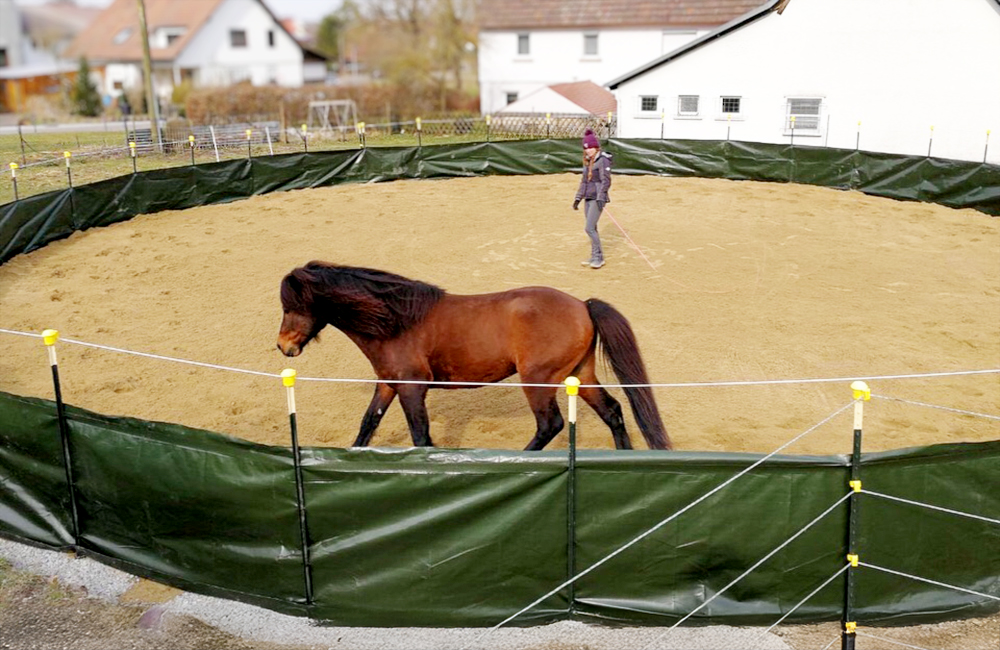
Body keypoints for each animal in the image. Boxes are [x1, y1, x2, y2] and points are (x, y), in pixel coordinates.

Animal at [276, 262, 671, 451]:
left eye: (290, 306)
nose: (283, 346)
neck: (396, 321)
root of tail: (582, 305)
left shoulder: (412, 389)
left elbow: (420, 436)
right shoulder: (389, 384)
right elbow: (366, 425)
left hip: (538, 381)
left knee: (550, 425)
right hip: (581, 375)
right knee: (613, 411)